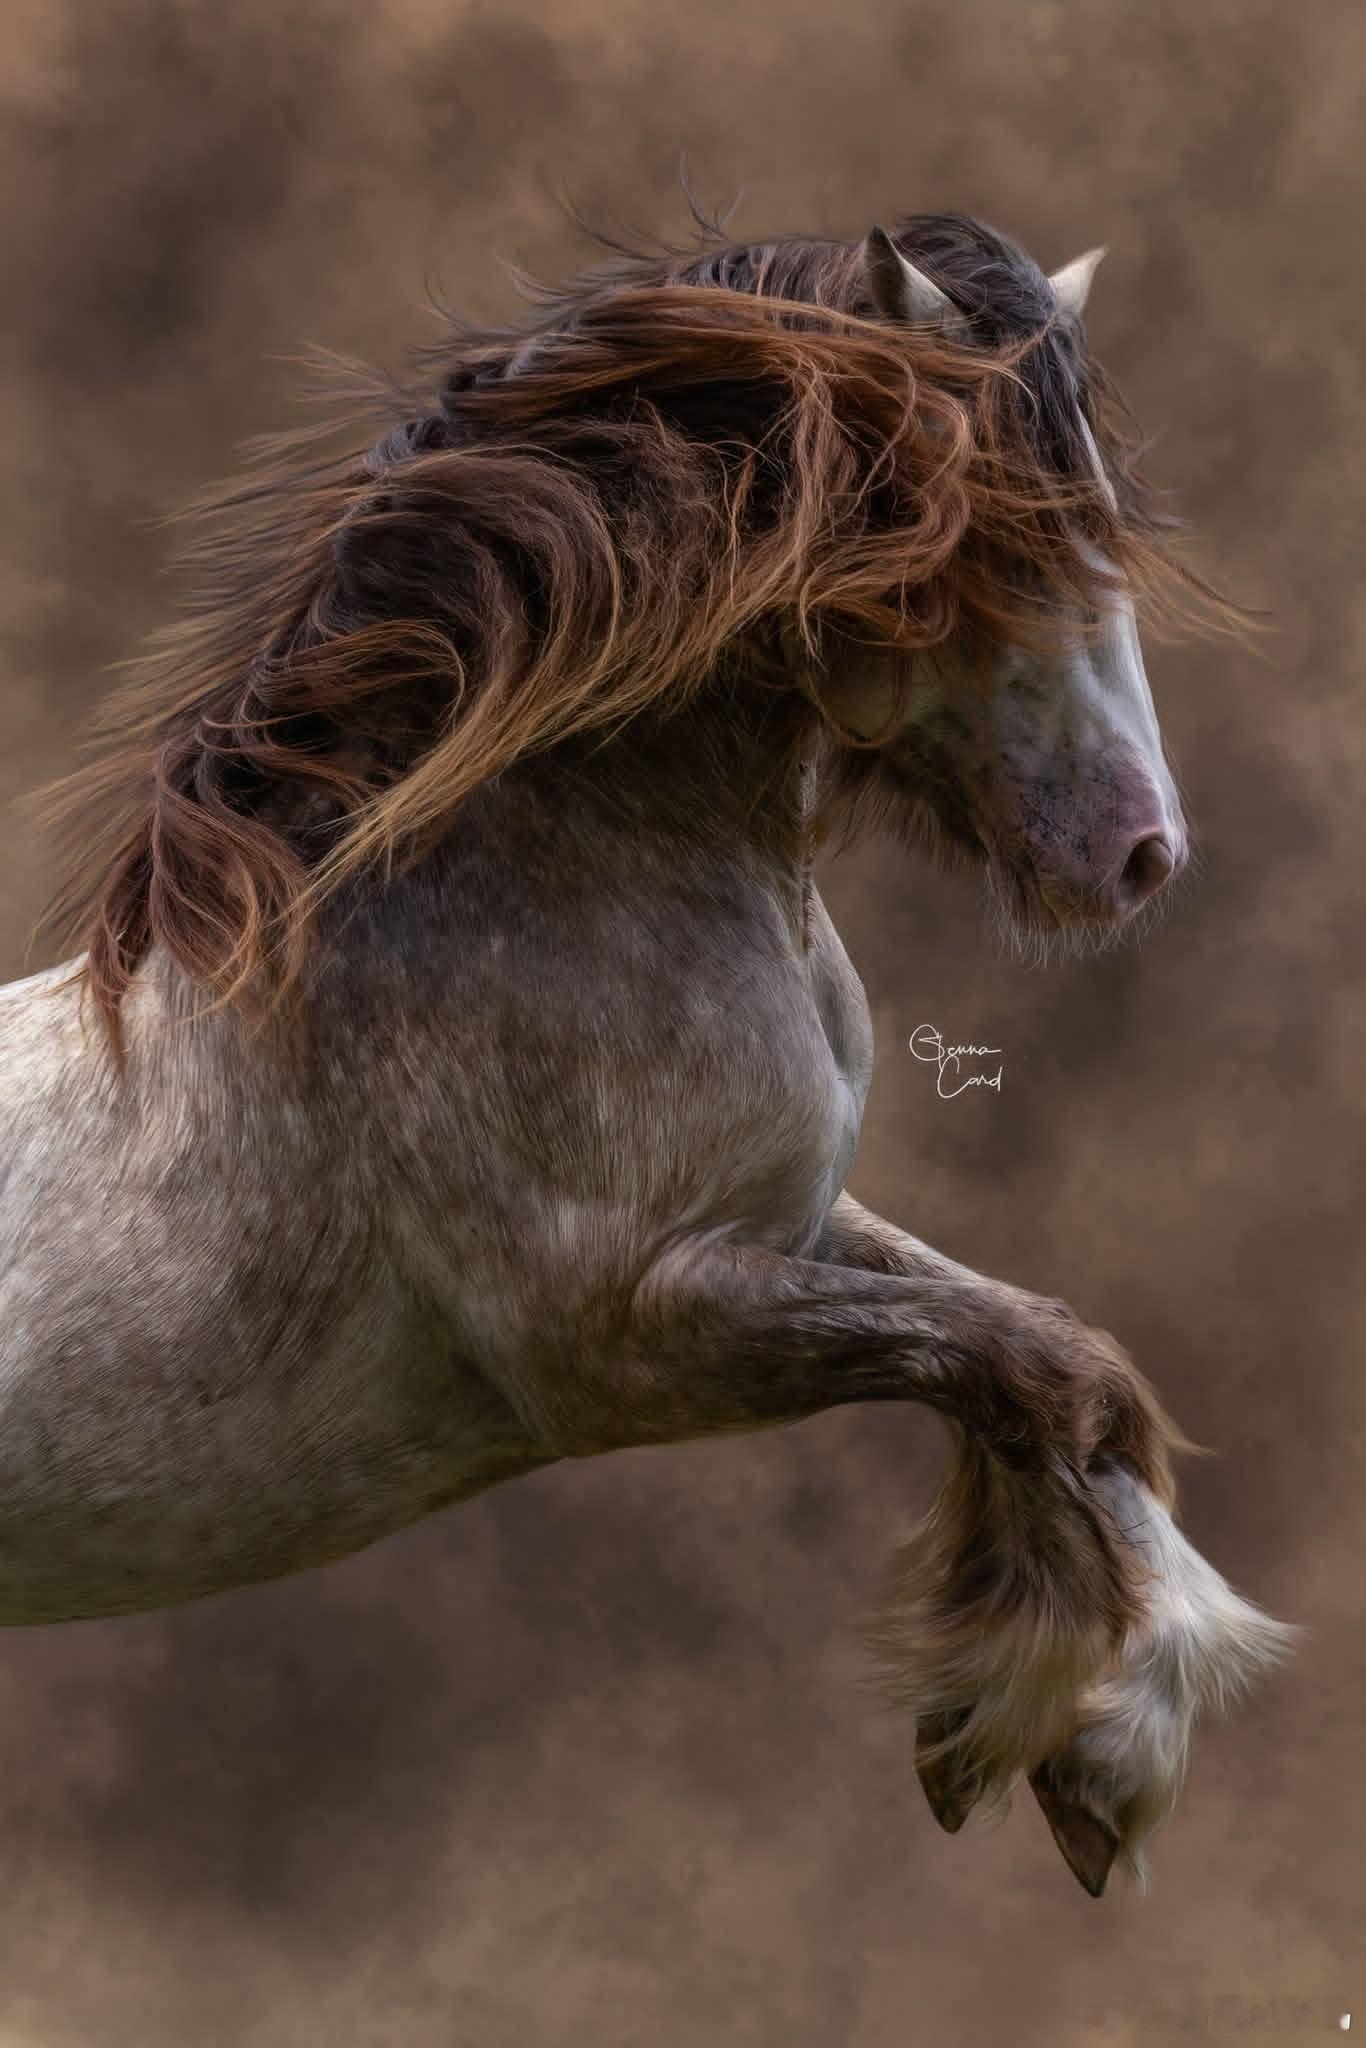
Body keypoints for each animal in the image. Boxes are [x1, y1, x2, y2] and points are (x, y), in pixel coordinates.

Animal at [1, 210, 1291, 1897]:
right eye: (1006, 527)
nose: (1139, 855)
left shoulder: (789, 1227)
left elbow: (1064, 1362)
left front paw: (1062, 1739)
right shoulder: (631, 1337)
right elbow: (1027, 1368)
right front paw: (1089, 1739)